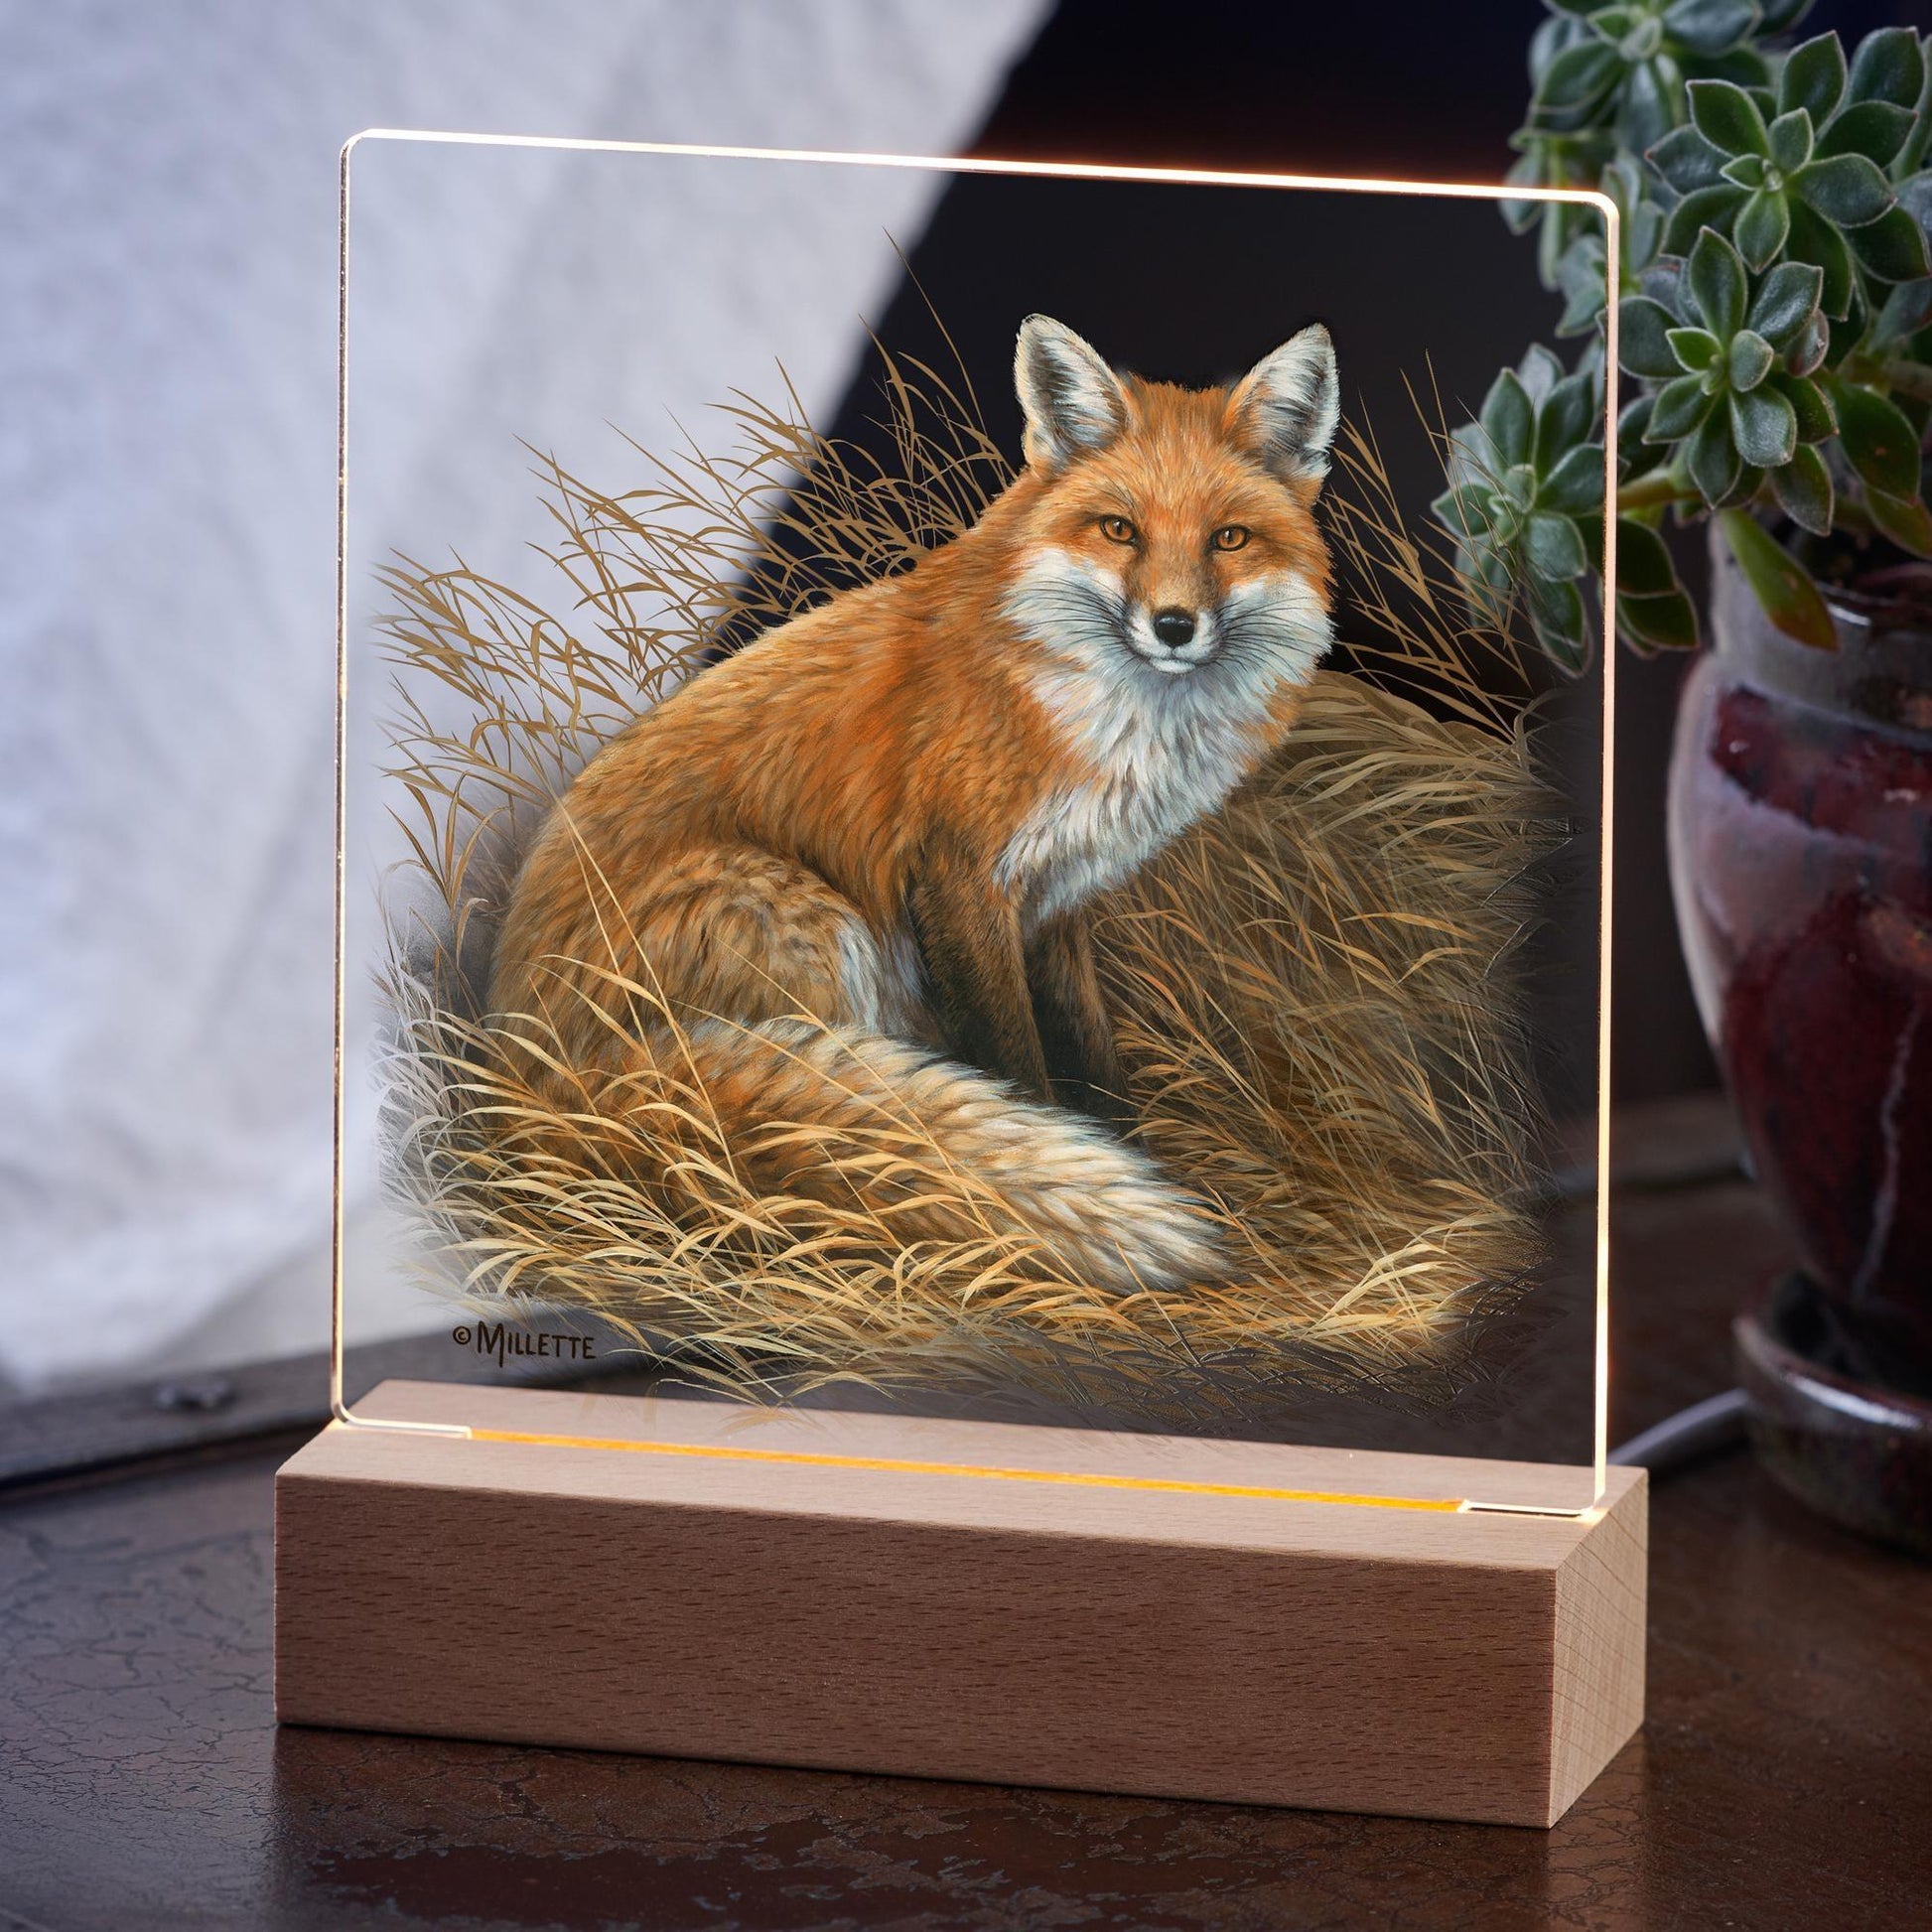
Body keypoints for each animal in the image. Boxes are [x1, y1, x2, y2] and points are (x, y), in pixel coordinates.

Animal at [488, 313, 1340, 1292]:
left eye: (1228, 539)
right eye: (1120, 530)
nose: (1172, 626)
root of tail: (524, 1070)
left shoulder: (1058, 897)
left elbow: (1090, 1048)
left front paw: (1130, 1144)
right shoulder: (959, 879)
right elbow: (1018, 1063)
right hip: (807, 920)